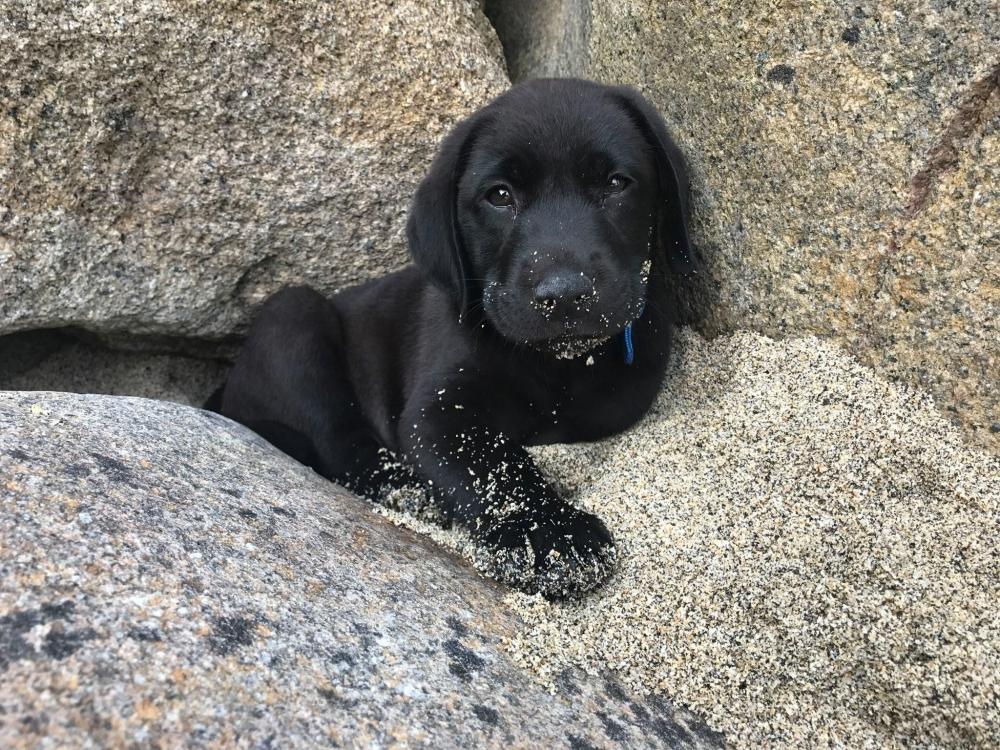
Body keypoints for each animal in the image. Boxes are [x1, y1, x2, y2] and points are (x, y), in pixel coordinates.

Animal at [214, 79, 692, 600]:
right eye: (499, 196)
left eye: (615, 184)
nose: (564, 294)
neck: (551, 364)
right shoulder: (438, 413)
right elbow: (497, 467)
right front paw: (548, 534)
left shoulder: (625, 389)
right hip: (293, 314)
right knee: (341, 442)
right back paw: (410, 490)